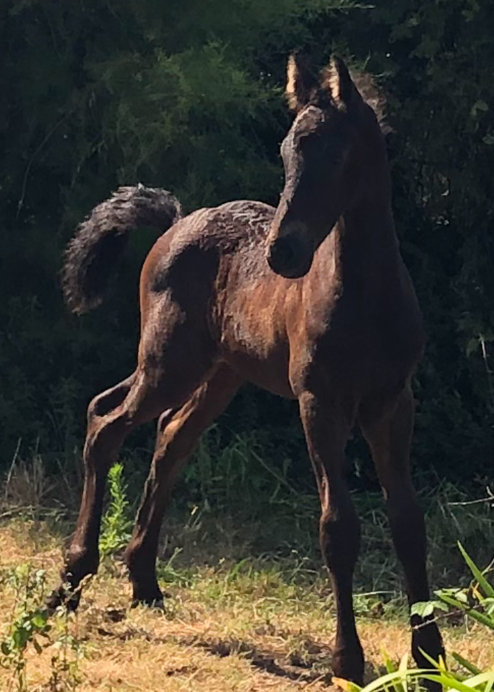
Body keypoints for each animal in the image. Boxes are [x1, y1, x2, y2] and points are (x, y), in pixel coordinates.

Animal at [49, 54, 444, 684]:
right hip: (169, 361)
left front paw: (431, 657)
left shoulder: (393, 401)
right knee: (106, 421)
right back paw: (70, 580)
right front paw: (347, 660)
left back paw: (144, 581)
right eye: (286, 151)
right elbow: (339, 527)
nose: (284, 253)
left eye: (336, 152)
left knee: (169, 439)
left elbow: (408, 522)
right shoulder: (319, 403)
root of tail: (177, 221)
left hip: (217, 375)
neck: (364, 296)